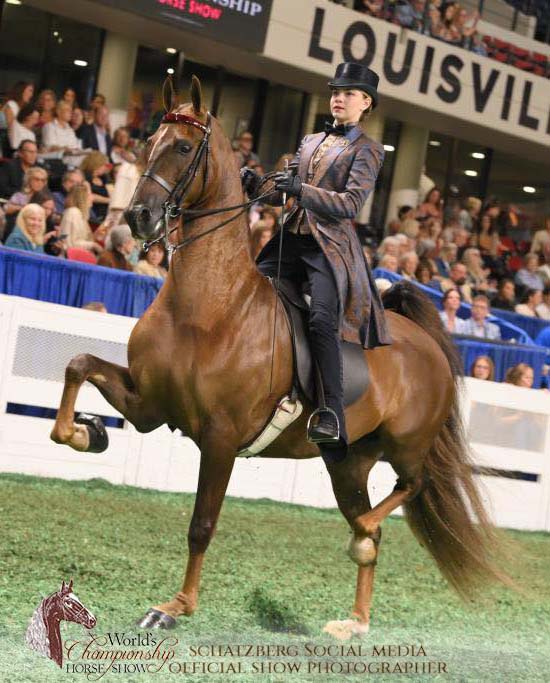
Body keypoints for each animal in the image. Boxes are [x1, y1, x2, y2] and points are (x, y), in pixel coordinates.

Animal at [50, 76, 508, 638]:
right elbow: (79, 363)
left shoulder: (220, 438)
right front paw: (84, 432)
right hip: (348, 464)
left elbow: (201, 524)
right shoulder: (149, 407)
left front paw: (175, 607)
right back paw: (354, 621)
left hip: (406, 444)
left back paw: (362, 539)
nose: (139, 217)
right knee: (373, 532)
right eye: (148, 142)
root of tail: (421, 341)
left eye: (183, 147)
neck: (209, 305)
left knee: (409, 488)